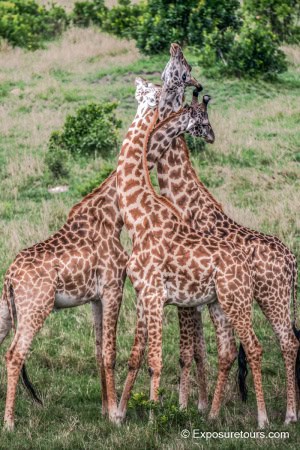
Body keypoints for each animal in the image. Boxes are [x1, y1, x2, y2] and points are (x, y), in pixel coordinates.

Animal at [115, 83, 270, 426]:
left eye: (150, 94)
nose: (211, 135)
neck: (138, 216)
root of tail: (246, 264)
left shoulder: (155, 295)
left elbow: (155, 359)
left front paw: (153, 417)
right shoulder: (142, 295)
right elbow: (135, 356)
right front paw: (118, 414)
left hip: (238, 302)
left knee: (255, 347)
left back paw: (264, 419)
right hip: (220, 304)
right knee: (228, 350)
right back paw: (212, 414)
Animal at [156, 89, 298, 426]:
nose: (210, 136)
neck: (187, 204)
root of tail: (292, 260)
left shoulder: (187, 298)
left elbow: (188, 350)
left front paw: (187, 406)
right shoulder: (199, 298)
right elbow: (203, 349)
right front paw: (202, 405)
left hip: (271, 297)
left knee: (287, 342)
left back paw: (288, 415)